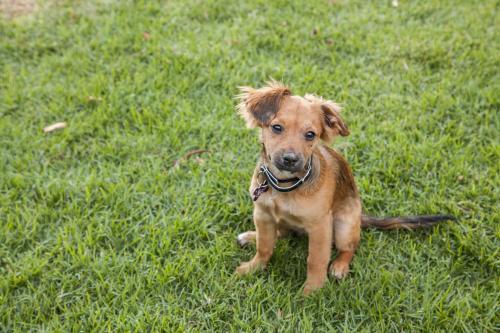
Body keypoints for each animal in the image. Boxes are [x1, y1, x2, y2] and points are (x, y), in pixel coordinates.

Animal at [234, 81, 454, 294]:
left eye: (310, 135)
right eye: (277, 127)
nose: (290, 159)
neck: (284, 185)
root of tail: (360, 217)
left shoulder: (320, 226)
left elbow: (316, 260)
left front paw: (312, 292)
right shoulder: (263, 215)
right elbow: (264, 246)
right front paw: (252, 267)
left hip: (344, 226)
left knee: (350, 247)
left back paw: (340, 266)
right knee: (282, 233)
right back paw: (250, 236)